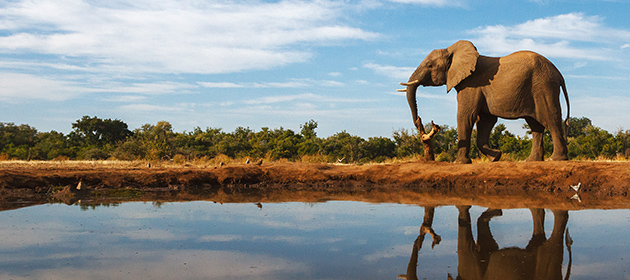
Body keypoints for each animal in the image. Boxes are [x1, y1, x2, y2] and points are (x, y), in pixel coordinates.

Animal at [400, 41, 572, 164]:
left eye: (430, 66)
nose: (420, 121)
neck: (453, 50)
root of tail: (559, 74)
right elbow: (485, 121)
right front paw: (496, 157)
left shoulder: (471, 85)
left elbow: (466, 116)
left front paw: (459, 163)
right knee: (535, 124)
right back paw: (531, 161)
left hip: (543, 86)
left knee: (550, 119)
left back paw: (555, 159)